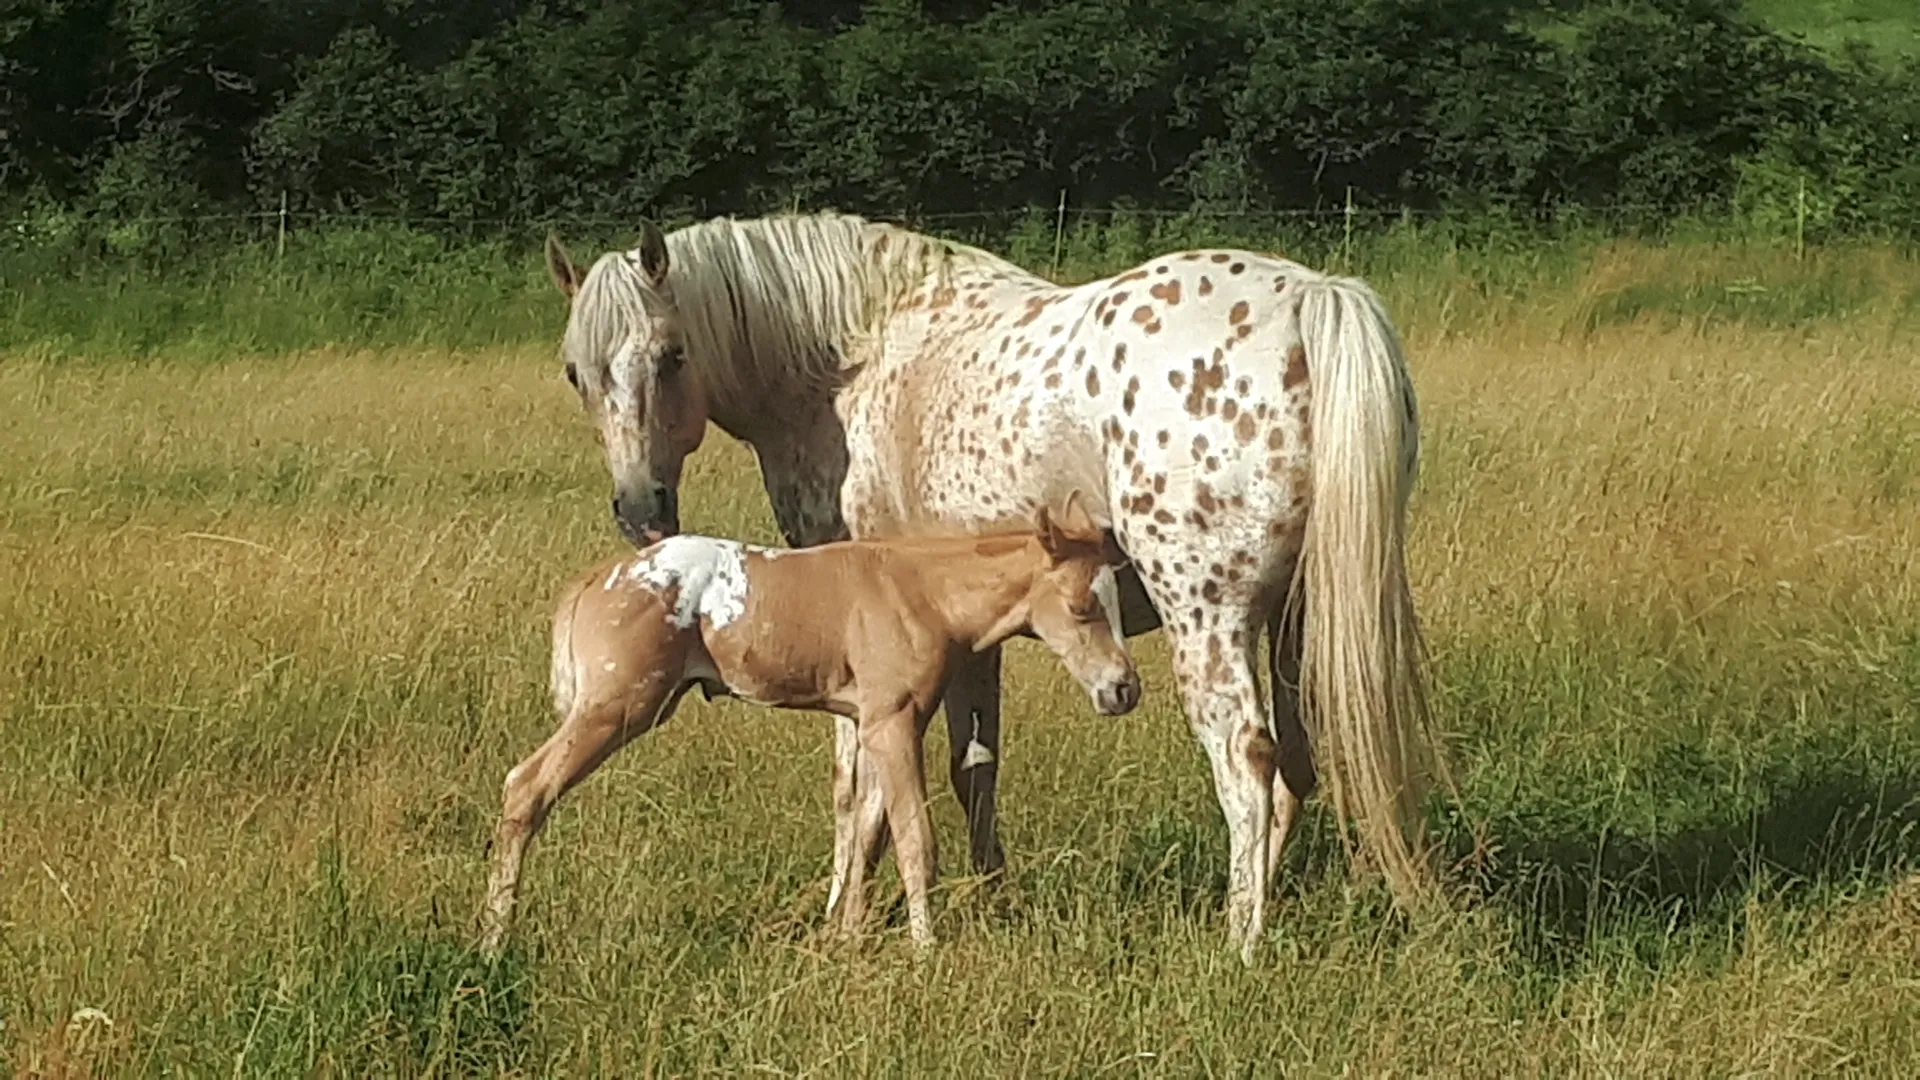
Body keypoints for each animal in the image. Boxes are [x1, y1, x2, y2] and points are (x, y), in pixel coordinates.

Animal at [478, 493, 1140, 956]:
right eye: (1082, 607)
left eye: (1114, 600)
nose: (1123, 689)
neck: (923, 593)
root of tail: (597, 580)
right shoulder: (893, 724)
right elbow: (915, 839)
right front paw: (925, 949)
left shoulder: (876, 723)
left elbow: (868, 831)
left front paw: (846, 940)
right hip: (614, 708)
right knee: (526, 786)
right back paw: (493, 939)